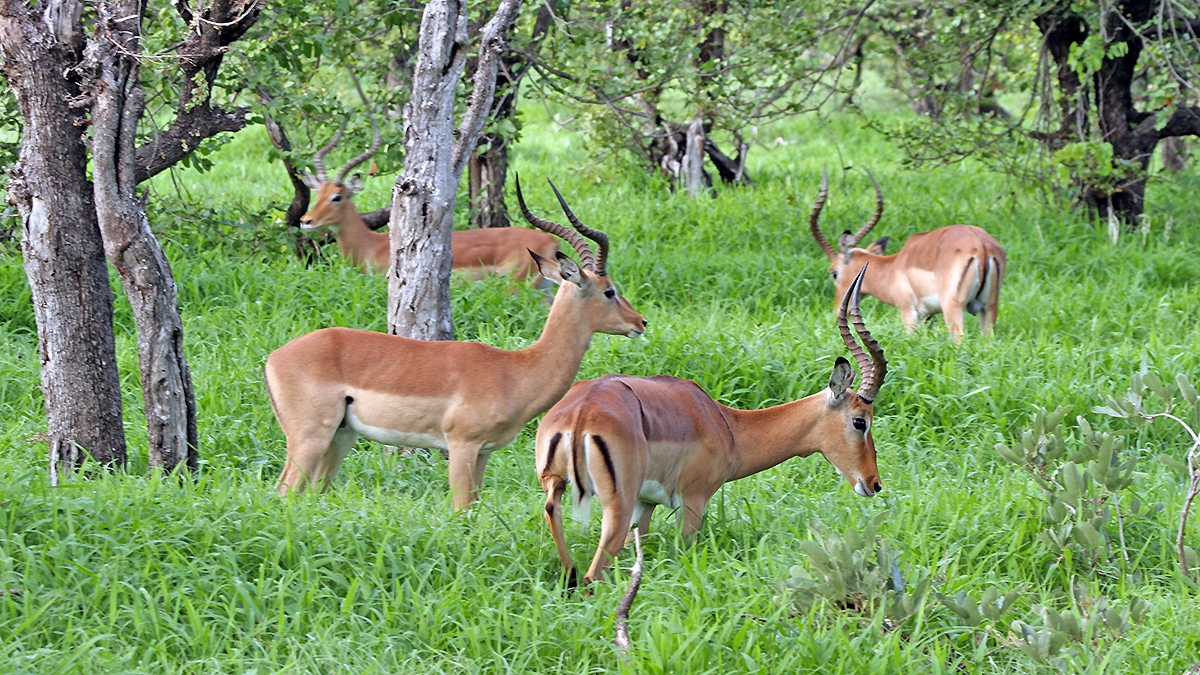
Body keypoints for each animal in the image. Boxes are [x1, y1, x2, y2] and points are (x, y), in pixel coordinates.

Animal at [265, 177, 647, 509]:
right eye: (609, 290)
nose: (640, 323)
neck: (513, 371)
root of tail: (273, 359)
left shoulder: (484, 452)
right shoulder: (462, 445)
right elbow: (461, 509)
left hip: (340, 437)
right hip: (310, 437)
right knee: (284, 490)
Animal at [535, 266, 887, 585]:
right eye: (860, 421)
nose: (874, 483)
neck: (726, 425)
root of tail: (581, 413)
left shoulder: (646, 504)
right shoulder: (692, 503)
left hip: (559, 486)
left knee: (556, 522)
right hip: (617, 507)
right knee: (592, 576)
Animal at [807, 167, 1006, 341]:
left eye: (834, 273)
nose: (837, 312)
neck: (894, 266)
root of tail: (980, 245)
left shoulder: (908, 312)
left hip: (953, 308)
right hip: (989, 308)